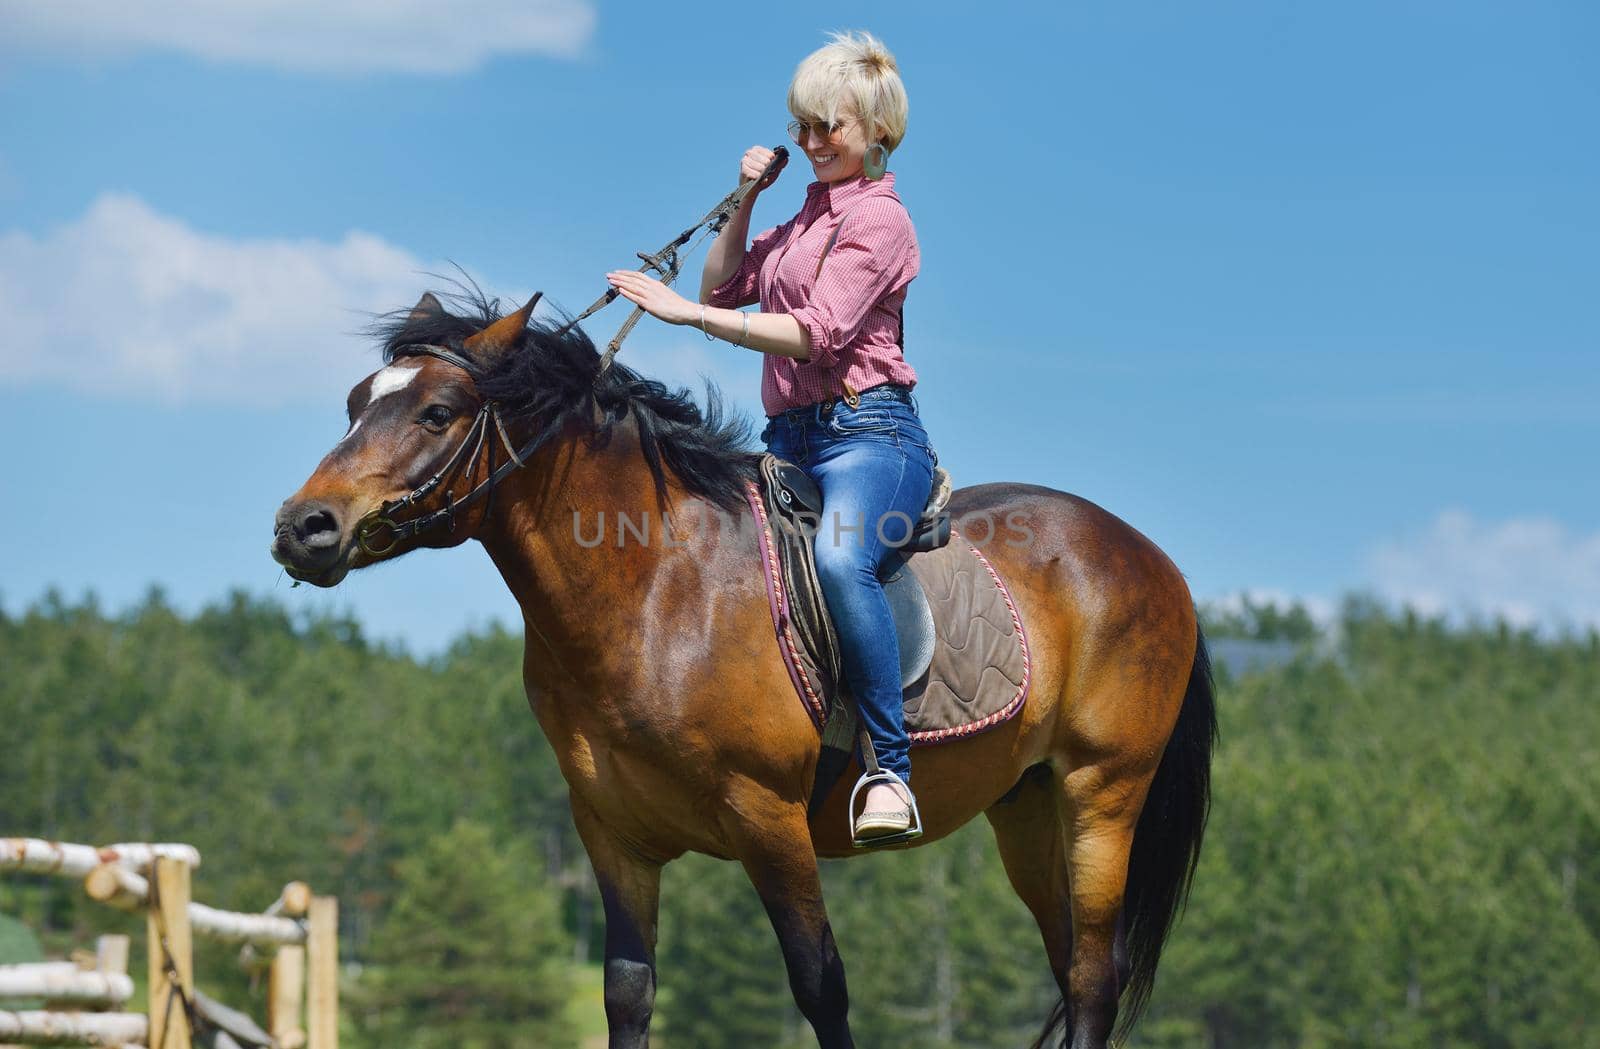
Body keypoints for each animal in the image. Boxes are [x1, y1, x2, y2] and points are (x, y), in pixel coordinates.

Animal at [272, 289, 1209, 1049]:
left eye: (437, 411)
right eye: (355, 403)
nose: (302, 527)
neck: (656, 585)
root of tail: (1149, 557)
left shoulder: (768, 818)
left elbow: (821, 987)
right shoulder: (611, 833)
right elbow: (628, 994)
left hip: (1102, 792)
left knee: (1092, 975)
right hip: (1026, 803)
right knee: (1069, 965)